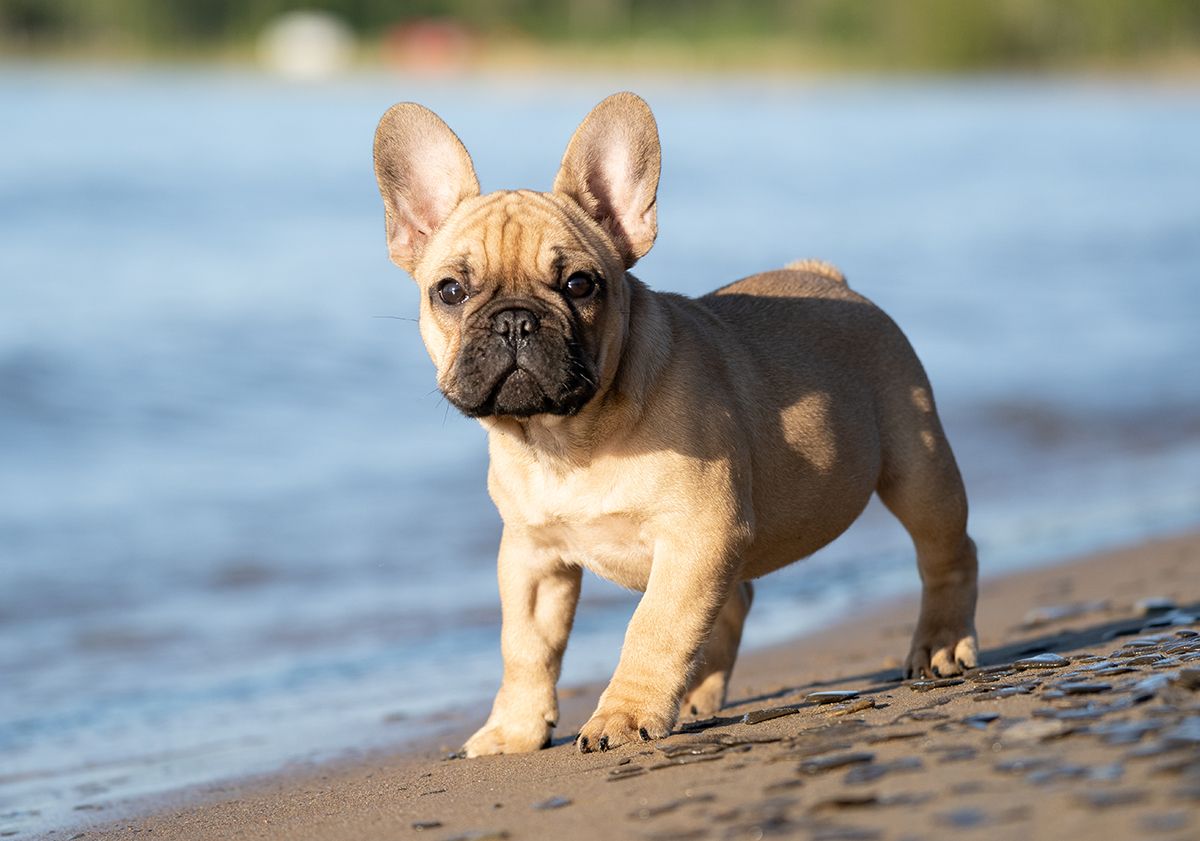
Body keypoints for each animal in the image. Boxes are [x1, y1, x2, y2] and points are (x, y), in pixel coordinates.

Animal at [372, 91, 974, 753]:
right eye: (450, 291)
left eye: (580, 284)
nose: (514, 320)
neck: (567, 438)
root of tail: (828, 278)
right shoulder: (532, 558)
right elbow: (525, 648)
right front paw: (514, 730)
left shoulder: (697, 534)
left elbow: (655, 628)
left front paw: (623, 715)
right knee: (735, 599)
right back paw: (697, 694)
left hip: (917, 465)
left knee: (948, 551)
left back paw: (942, 645)